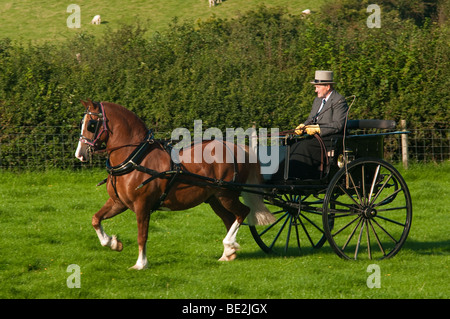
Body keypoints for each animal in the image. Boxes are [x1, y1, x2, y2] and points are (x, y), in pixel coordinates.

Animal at [75, 100, 276, 270]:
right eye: (82, 122)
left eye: (91, 124)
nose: (79, 154)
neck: (135, 158)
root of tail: (238, 148)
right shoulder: (118, 202)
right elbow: (96, 219)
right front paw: (113, 243)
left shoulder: (142, 205)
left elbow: (142, 235)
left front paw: (140, 264)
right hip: (215, 199)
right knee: (229, 219)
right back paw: (228, 253)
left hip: (226, 194)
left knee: (242, 213)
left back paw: (229, 245)